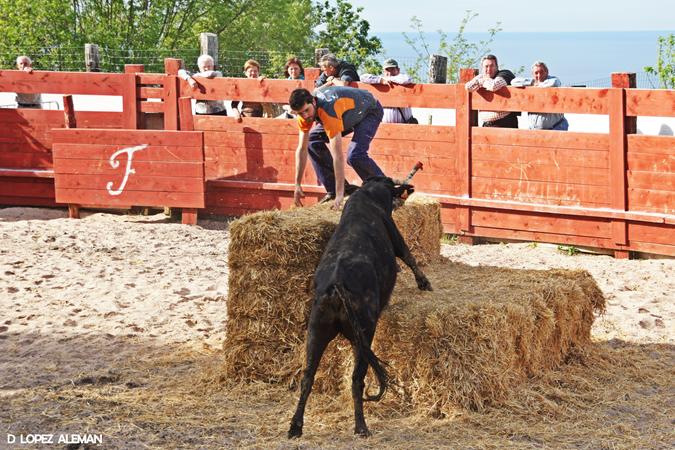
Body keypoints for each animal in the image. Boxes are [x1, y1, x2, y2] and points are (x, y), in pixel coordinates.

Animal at [288, 178, 430, 438]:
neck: (368, 196)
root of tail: (336, 285)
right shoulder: (395, 234)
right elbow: (408, 255)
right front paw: (424, 283)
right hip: (363, 336)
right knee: (356, 379)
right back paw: (361, 426)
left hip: (316, 332)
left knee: (307, 376)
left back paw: (295, 426)